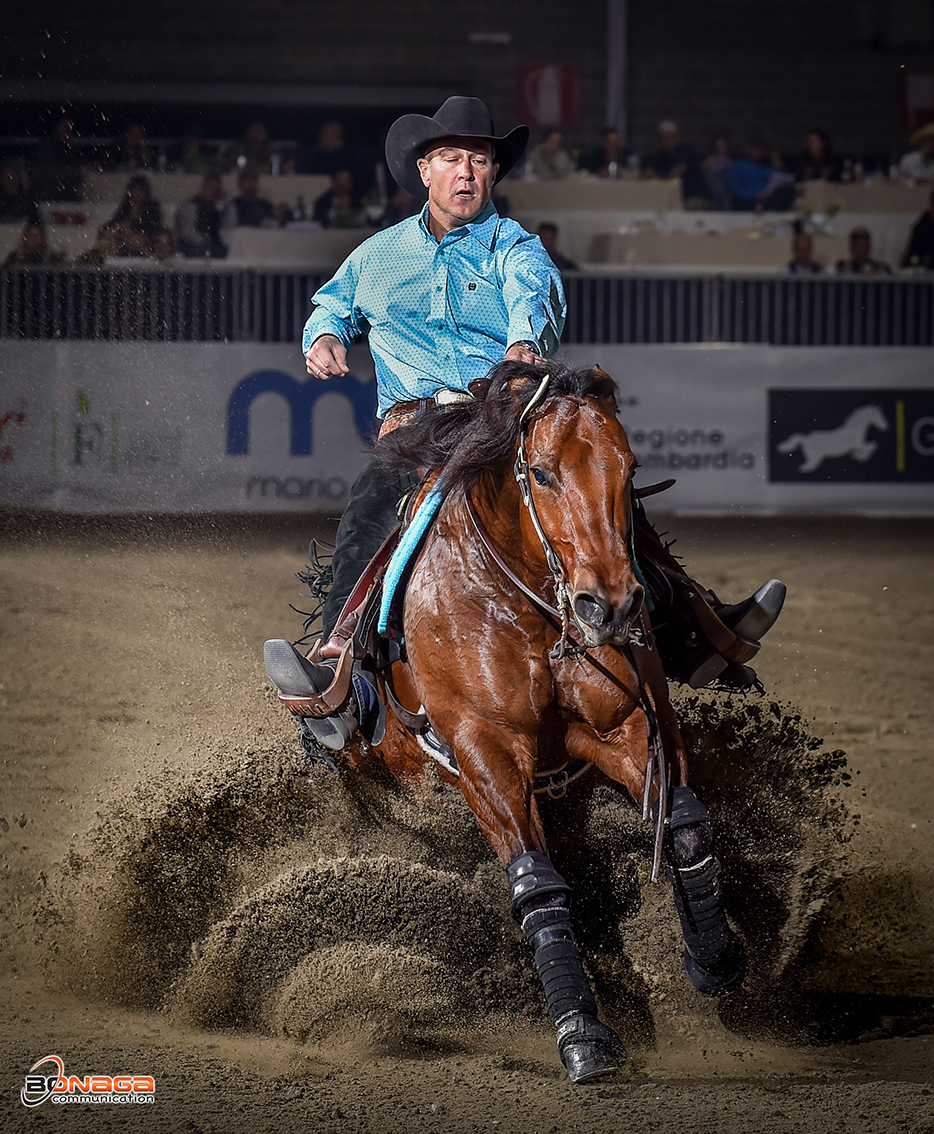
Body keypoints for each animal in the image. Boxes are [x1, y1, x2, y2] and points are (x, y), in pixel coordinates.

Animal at [316, 359, 746, 1082]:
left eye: (629, 467)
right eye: (542, 473)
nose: (610, 604)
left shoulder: (625, 725)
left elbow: (685, 824)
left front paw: (714, 957)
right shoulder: (485, 751)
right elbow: (538, 887)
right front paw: (582, 1033)